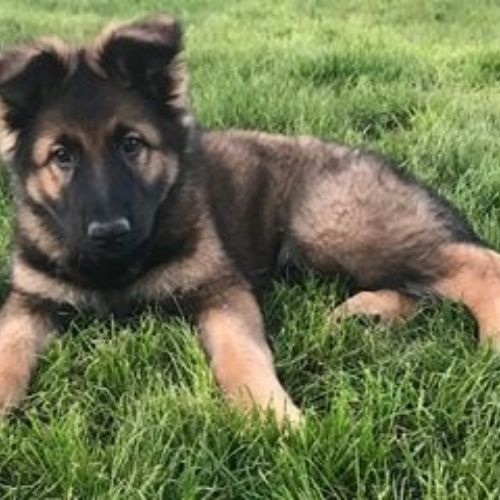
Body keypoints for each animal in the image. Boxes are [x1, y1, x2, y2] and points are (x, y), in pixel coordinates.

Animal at [0, 14, 498, 424]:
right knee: (424, 287)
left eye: (131, 144)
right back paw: (365, 313)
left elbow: (240, 352)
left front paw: (271, 416)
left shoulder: (222, 288)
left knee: (475, 262)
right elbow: (9, 347)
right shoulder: (30, 302)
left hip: (332, 226)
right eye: (61, 156)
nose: (109, 234)